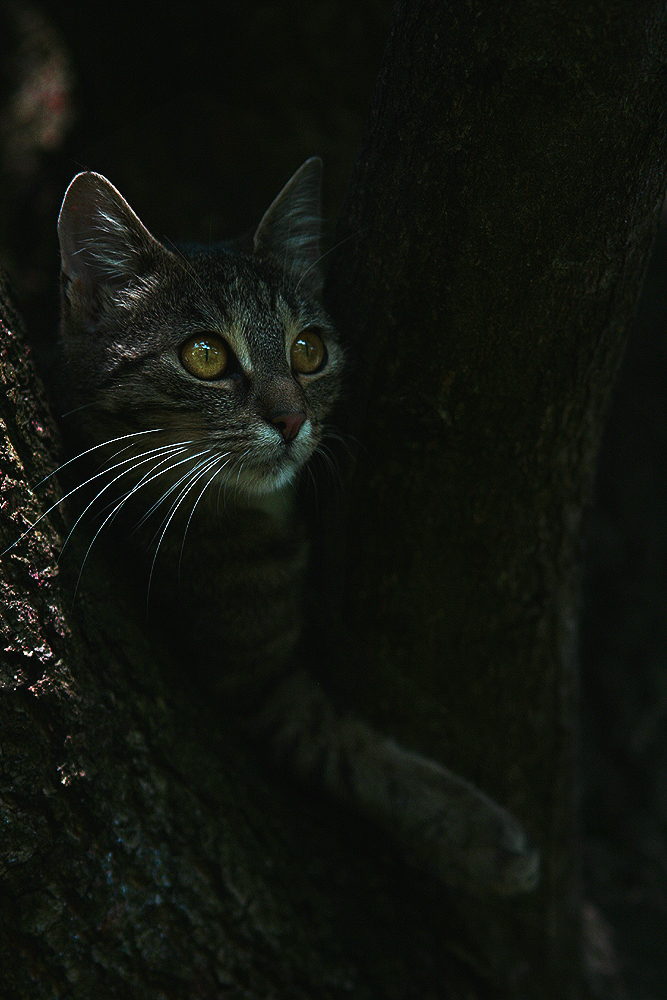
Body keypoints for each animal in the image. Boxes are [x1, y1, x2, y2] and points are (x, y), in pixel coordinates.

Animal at [47, 160, 540, 896]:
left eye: (308, 350)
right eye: (204, 356)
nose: (292, 417)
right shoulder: (251, 685)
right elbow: (346, 751)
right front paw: (476, 833)